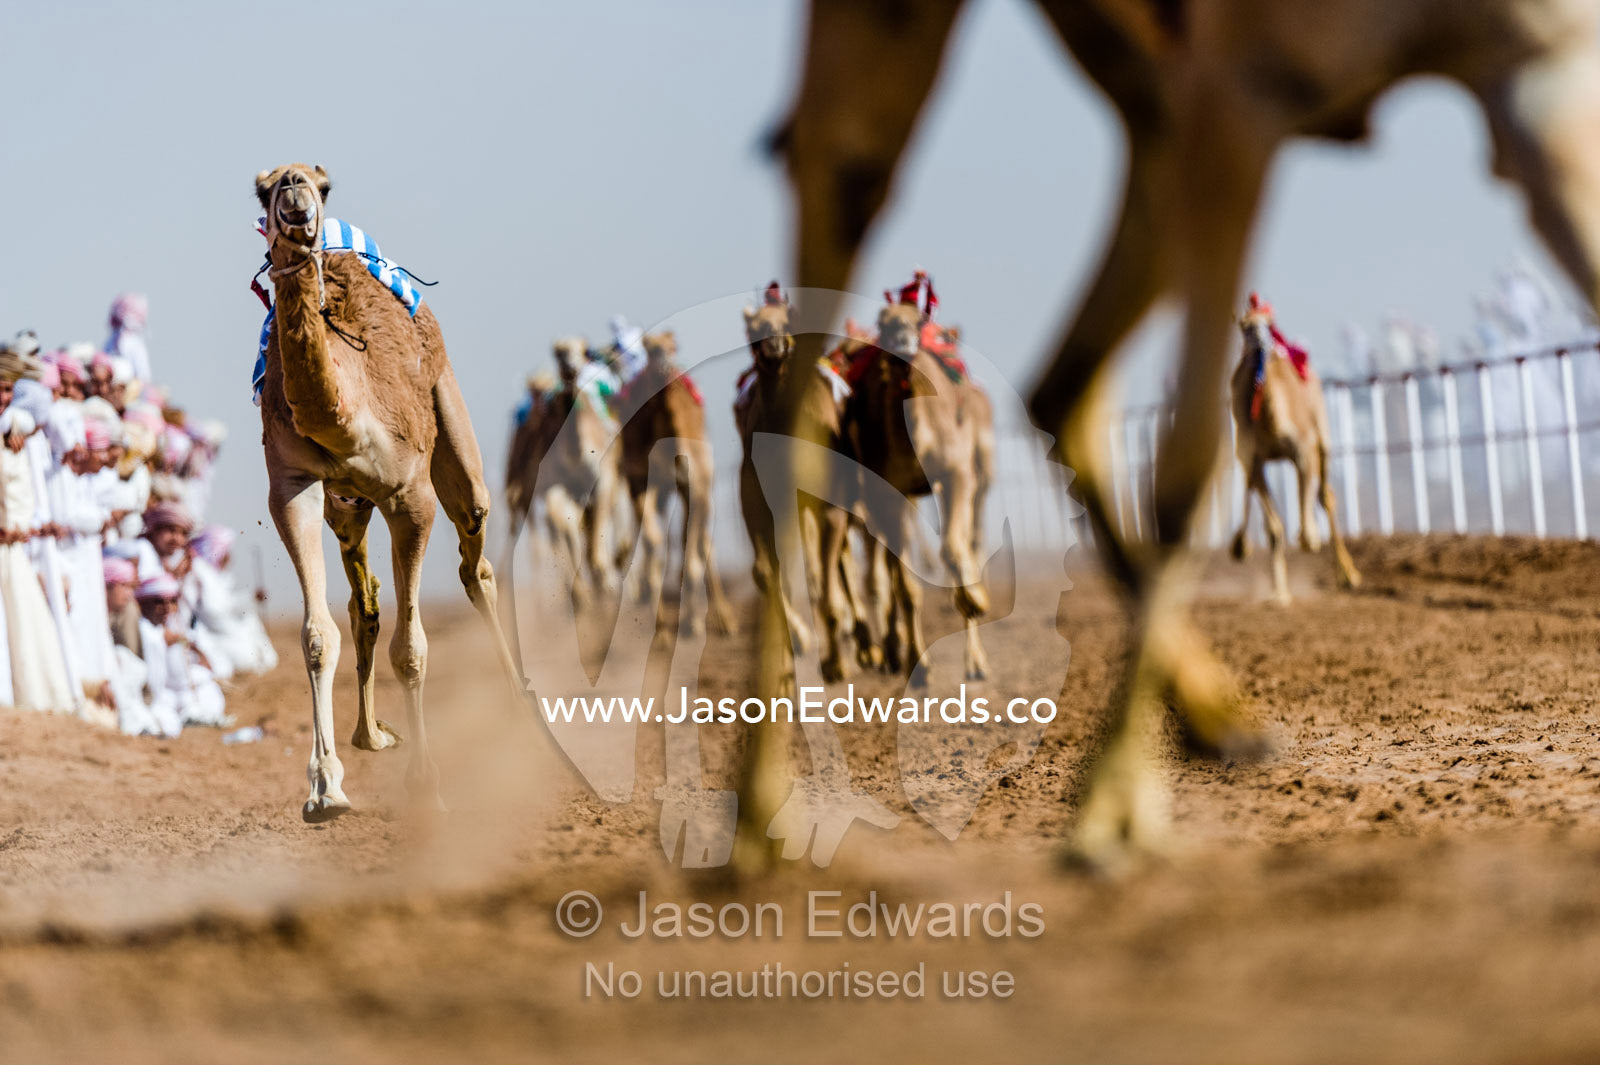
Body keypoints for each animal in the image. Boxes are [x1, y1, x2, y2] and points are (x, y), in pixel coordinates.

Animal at [255, 162, 521, 822]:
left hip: (453, 432)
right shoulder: (292, 489)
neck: (347, 413)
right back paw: (369, 735)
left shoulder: (410, 495)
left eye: (322, 185)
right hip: (345, 507)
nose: (294, 186)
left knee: (475, 562)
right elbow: (317, 635)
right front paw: (324, 788)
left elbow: (413, 648)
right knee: (365, 603)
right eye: (263, 187)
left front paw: (425, 786)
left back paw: (517, 704)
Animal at [616, 330, 735, 634]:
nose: (663, 363)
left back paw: (723, 618)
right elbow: (654, 540)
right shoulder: (640, 481)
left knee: (698, 540)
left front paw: (693, 622)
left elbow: (691, 545)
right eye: (650, 347)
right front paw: (659, 621)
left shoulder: (698, 486)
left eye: (673, 345)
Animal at [828, 292, 995, 684]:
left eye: (919, 320)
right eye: (883, 322)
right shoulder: (889, 490)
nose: (903, 343)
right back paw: (888, 651)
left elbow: (953, 549)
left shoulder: (957, 472)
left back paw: (974, 658)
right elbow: (904, 585)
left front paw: (974, 601)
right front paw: (918, 666)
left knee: (969, 541)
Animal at [1230, 304, 1362, 604]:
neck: (1270, 422)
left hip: (1322, 434)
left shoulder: (1303, 451)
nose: (1262, 344)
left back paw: (1350, 575)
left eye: (1269, 324)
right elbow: (1273, 528)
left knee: (1327, 497)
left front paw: (1311, 539)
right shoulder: (1252, 461)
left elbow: (1306, 529)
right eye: (1245, 327)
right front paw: (1279, 593)